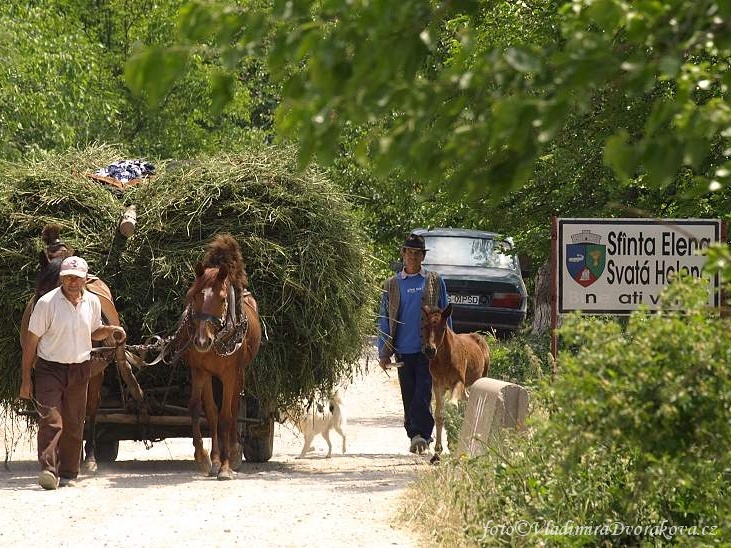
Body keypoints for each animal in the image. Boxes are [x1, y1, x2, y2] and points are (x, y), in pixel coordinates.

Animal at [181, 234, 264, 480]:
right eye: (194, 296)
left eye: (221, 298)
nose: (201, 342)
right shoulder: (199, 370)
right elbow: (200, 409)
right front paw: (204, 458)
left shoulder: (230, 374)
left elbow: (227, 417)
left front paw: (226, 467)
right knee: (213, 412)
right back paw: (217, 458)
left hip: (240, 373)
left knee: (235, 408)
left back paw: (234, 454)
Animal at [420, 302, 488, 456]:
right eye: (425, 326)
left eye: (443, 328)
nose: (430, 350)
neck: (444, 360)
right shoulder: (438, 385)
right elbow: (439, 414)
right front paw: (437, 451)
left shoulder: (457, 382)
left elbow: (451, 407)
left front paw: (451, 441)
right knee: (466, 399)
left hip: (479, 377)